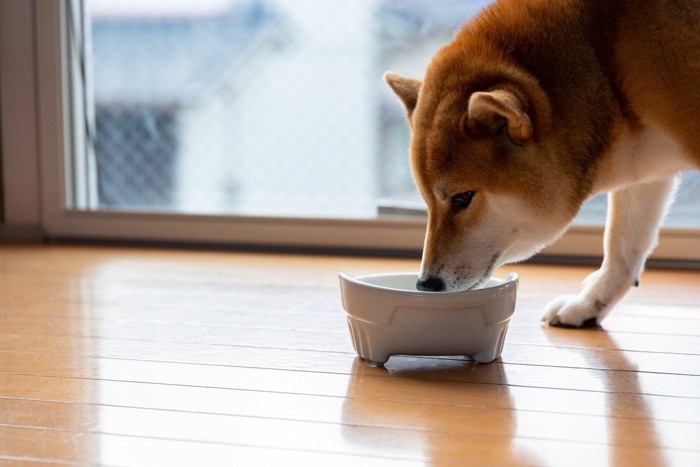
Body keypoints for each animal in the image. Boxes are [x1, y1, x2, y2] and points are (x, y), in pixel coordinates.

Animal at [386, 0, 696, 330]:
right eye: (427, 202)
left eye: (462, 198)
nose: (425, 284)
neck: (603, 63)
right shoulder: (645, 168)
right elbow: (623, 249)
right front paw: (587, 305)